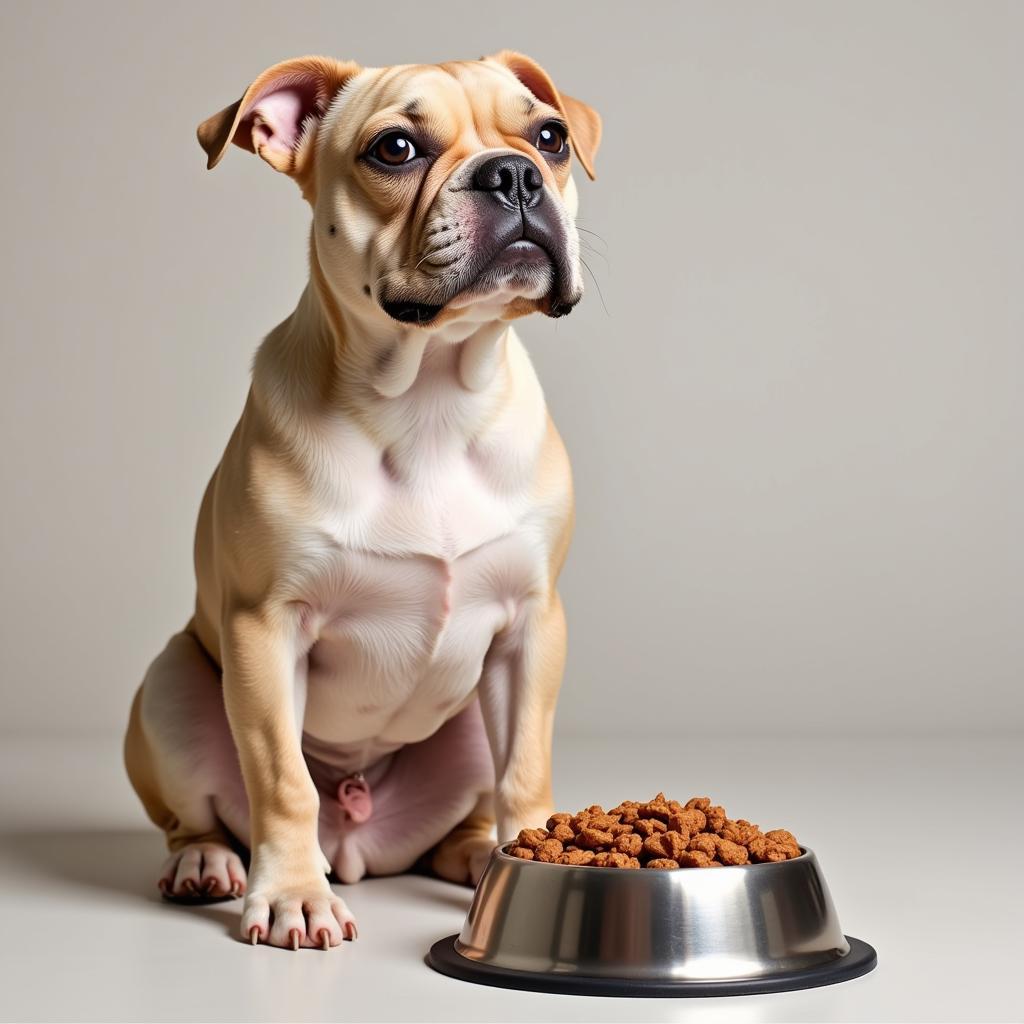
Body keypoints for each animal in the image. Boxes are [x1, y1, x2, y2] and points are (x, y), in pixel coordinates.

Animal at [123, 51, 598, 950]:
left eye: (551, 137)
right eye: (396, 149)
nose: (514, 172)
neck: (431, 399)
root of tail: (359, 841)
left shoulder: (534, 628)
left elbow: (527, 769)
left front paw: (536, 862)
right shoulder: (267, 629)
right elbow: (282, 778)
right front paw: (292, 896)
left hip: (467, 727)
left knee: (470, 808)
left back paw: (476, 853)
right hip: (171, 684)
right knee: (204, 816)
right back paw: (210, 863)